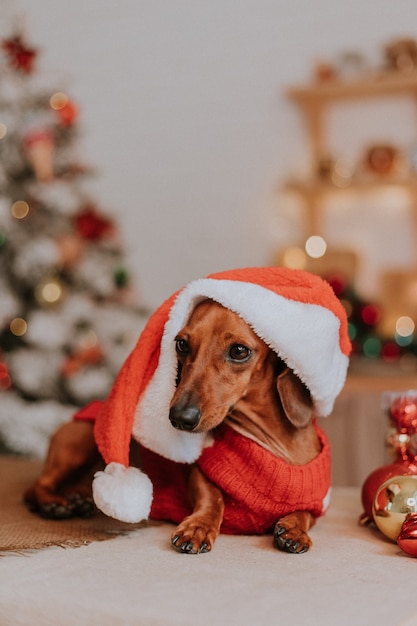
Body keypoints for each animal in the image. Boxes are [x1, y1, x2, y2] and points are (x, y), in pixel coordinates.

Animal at [25, 300, 324, 552]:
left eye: (239, 351)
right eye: (181, 344)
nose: (180, 417)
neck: (271, 442)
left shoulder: (318, 500)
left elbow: (306, 513)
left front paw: (294, 530)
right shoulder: (200, 473)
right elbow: (212, 499)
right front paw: (198, 527)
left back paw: (78, 500)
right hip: (82, 439)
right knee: (37, 485)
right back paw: (54, 504)